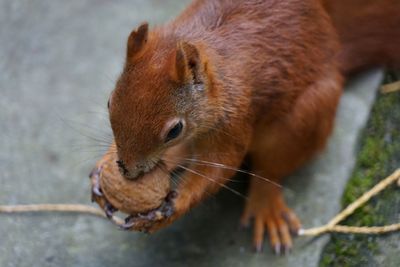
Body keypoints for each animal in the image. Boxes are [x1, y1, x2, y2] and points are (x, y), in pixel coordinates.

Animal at [90, 0, 400, 255]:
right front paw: (100, 169)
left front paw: (171, 209)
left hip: (303, 119)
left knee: (270, 171)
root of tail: (335, 50)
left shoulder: (235, 118)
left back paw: (266, 204)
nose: (126, 170)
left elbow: (220, 167)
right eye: (109, 101)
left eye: (174, 130)